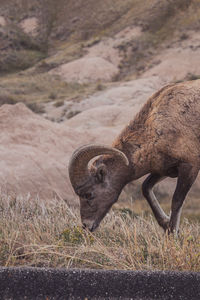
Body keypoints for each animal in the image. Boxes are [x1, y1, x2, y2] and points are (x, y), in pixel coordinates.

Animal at [68, 80, 200, 234]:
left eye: (88, 194)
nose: (87, 226)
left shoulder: (189, 167)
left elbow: (176, 201)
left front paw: (172, 233)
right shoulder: (164, 170)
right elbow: (145, 188)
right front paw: (166, 224)